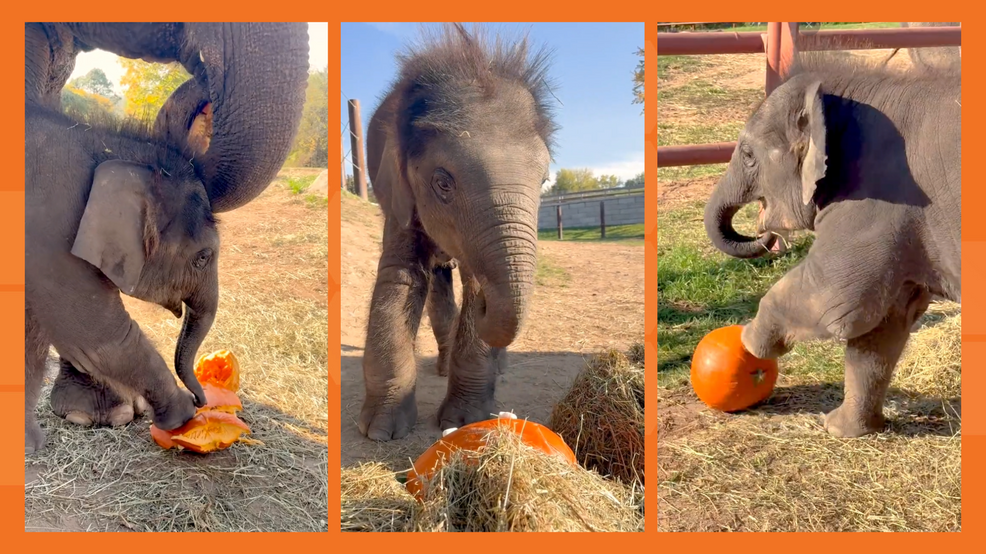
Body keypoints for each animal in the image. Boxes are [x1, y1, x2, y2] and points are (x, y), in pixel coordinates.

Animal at [24, 22, 308, 452]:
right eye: (203, 257)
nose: (201, 399)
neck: (98, 140)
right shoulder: (51, 225)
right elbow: (97, 332)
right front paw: (179, 415)